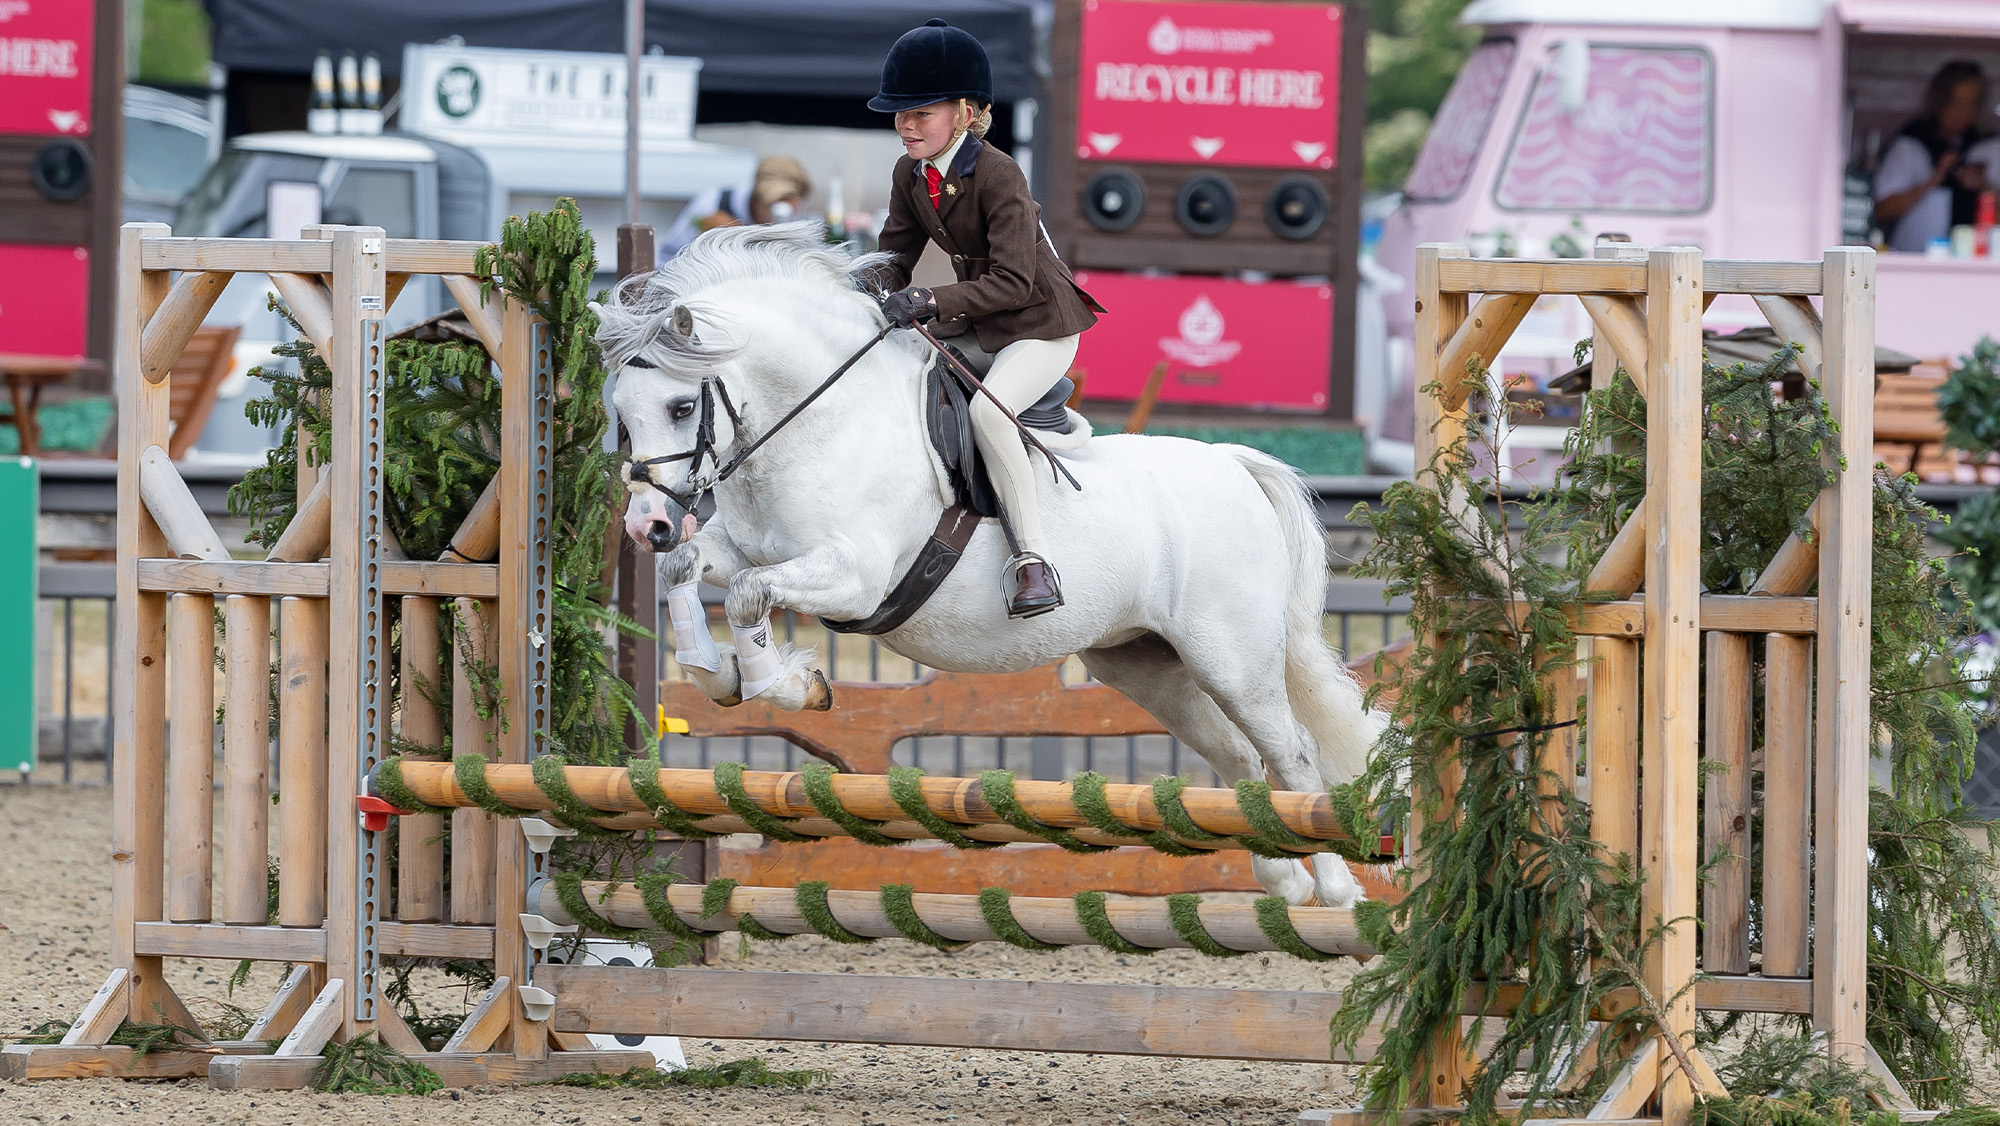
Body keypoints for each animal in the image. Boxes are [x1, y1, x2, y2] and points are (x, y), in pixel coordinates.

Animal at [593, 223, 1382, 908]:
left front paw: (783, 682)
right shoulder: (743, 546)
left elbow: (750, 596)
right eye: (621, 414)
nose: (646, 523)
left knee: (1291, 754)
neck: (819, 423)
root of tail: (1232, 462)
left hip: (1231, 657)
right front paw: (715, 671)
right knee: (1241, 758)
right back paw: (1282, 879)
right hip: (1146, 663)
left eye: (678, 405)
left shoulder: (854, 576)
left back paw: (1336, 887)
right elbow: (689, 572)